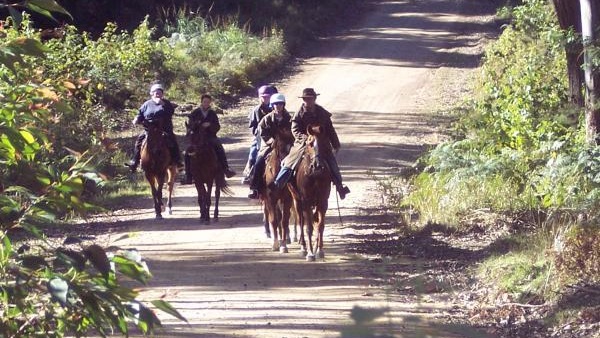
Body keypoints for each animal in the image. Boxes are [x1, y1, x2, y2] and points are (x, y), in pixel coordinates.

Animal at [290, 124, 336, 262]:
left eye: (324, 143)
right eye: (310, 143)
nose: (317, 166)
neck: (314, 176)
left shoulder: (323, 201)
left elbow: (320, 225)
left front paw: (319, 250)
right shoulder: (306, 201)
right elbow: (308, 227)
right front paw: (310, 253)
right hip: (297, 200)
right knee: (301, 220)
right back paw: (303, 246)